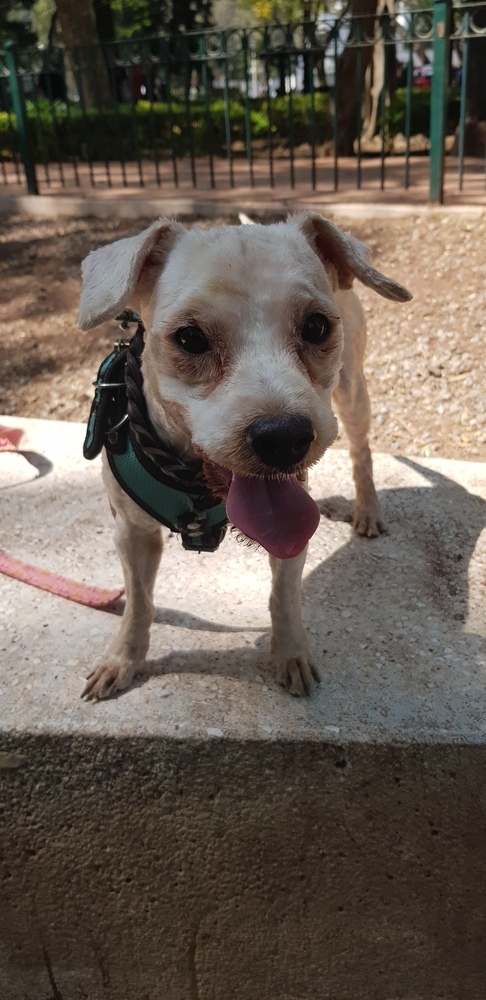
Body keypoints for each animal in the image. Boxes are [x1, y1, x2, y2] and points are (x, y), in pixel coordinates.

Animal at [79, 213, 410, 696]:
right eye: (190, 338)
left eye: (316, 327)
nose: (283, 438)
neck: (197, 486)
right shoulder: (131, 533)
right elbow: (138, 602)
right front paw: (122, 659)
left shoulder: (293, 536)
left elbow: (284, 598)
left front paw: (291, 655)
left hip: (352, 392)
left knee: (361, 451)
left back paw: (367, 510)